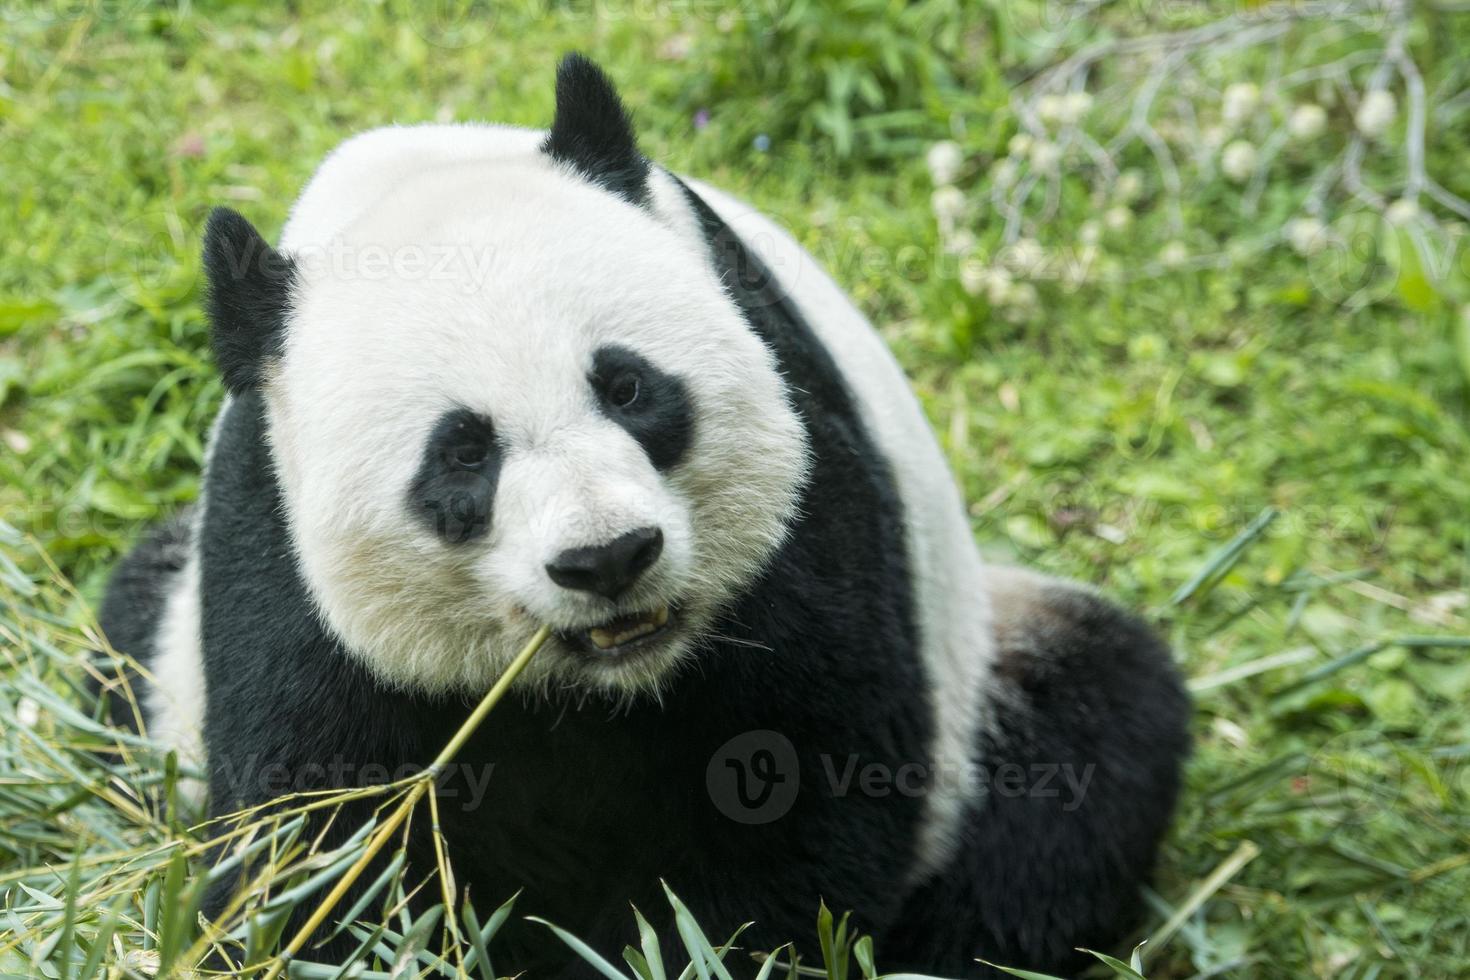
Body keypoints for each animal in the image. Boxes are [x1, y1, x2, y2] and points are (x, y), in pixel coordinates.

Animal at [94, 55, 1193, 980]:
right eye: (463, 453)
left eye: (626, 387)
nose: (609, 558)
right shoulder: (273, 554)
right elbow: (320, 839)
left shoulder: (807, 490)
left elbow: (801, 788)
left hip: (986, 659)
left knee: (1082, 750)